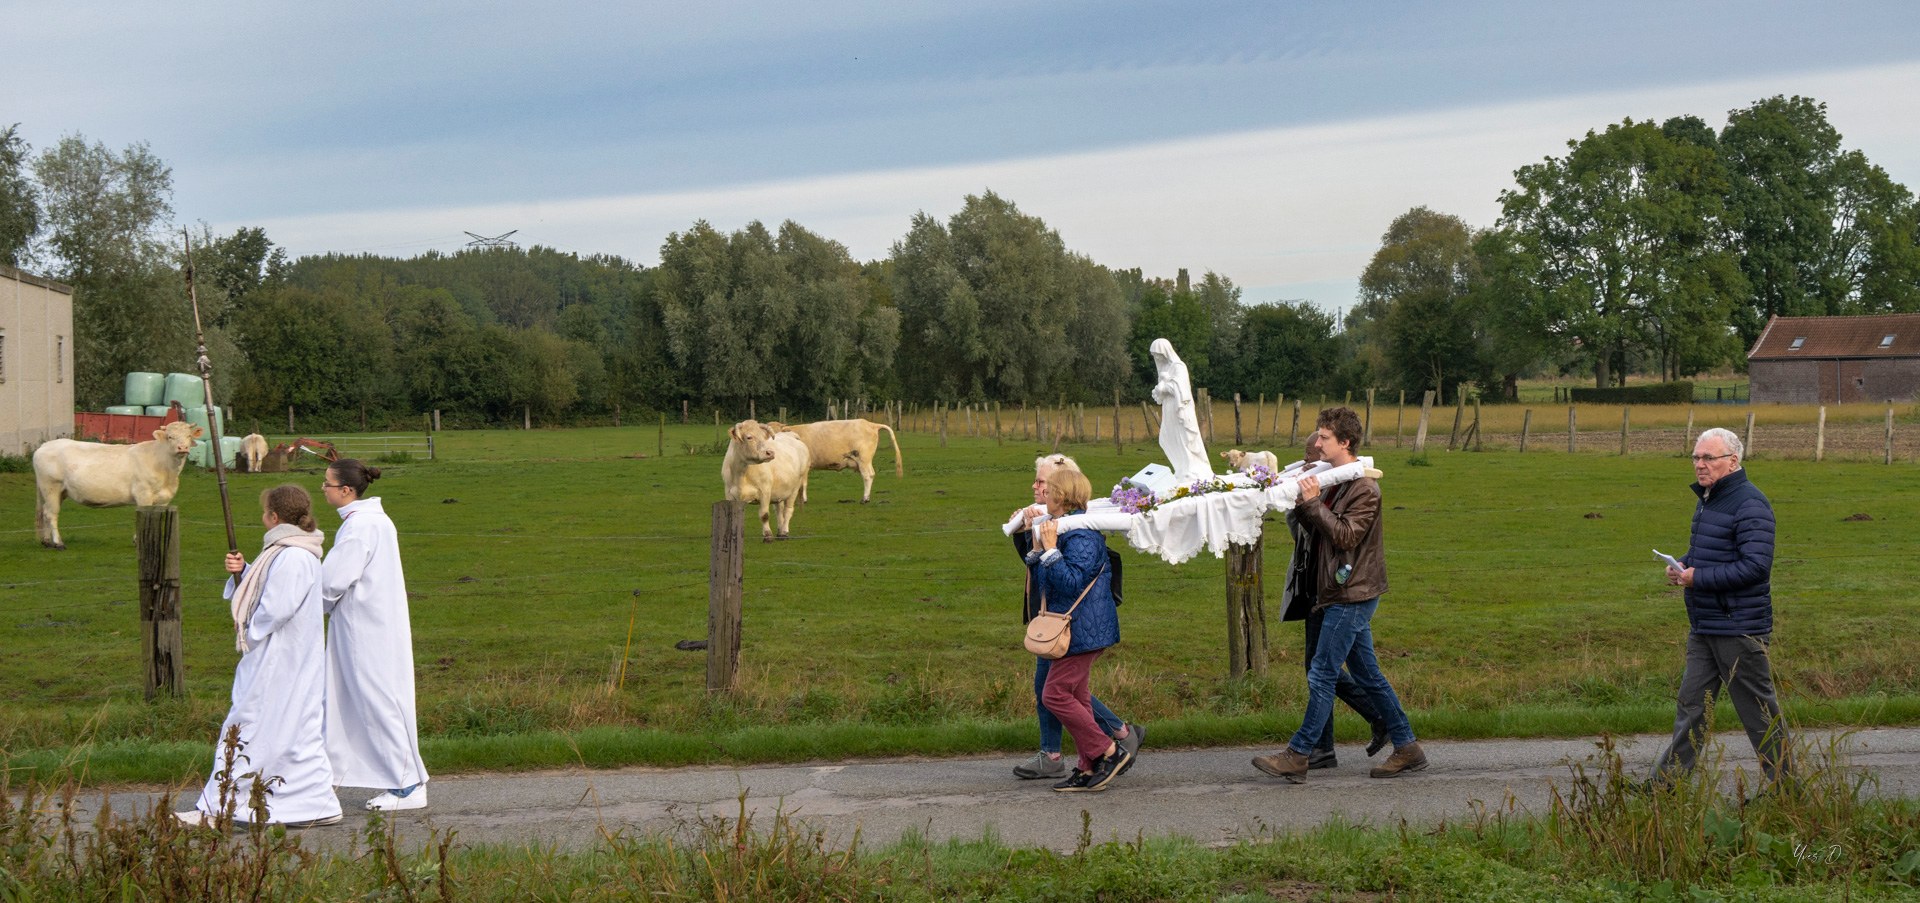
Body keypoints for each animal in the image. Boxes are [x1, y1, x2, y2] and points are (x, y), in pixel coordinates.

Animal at [33, 418, 204, 545]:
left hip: (58, 491)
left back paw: (47, 541)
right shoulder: (143, 494)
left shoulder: (164, 499)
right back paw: (58, 543)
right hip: (50, 486)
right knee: (51, 513)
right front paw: (138, 540)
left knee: (44, 511)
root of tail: (45, 445)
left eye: (189, 436)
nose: (182, 448)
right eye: (170, 437)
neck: (167, 471)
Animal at [771, 418, 906, 503]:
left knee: (867, 476)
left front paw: (803, 500)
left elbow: (802, 484)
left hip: (863, 459)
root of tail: (870, 424)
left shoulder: (805, 467)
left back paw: (864, 499)